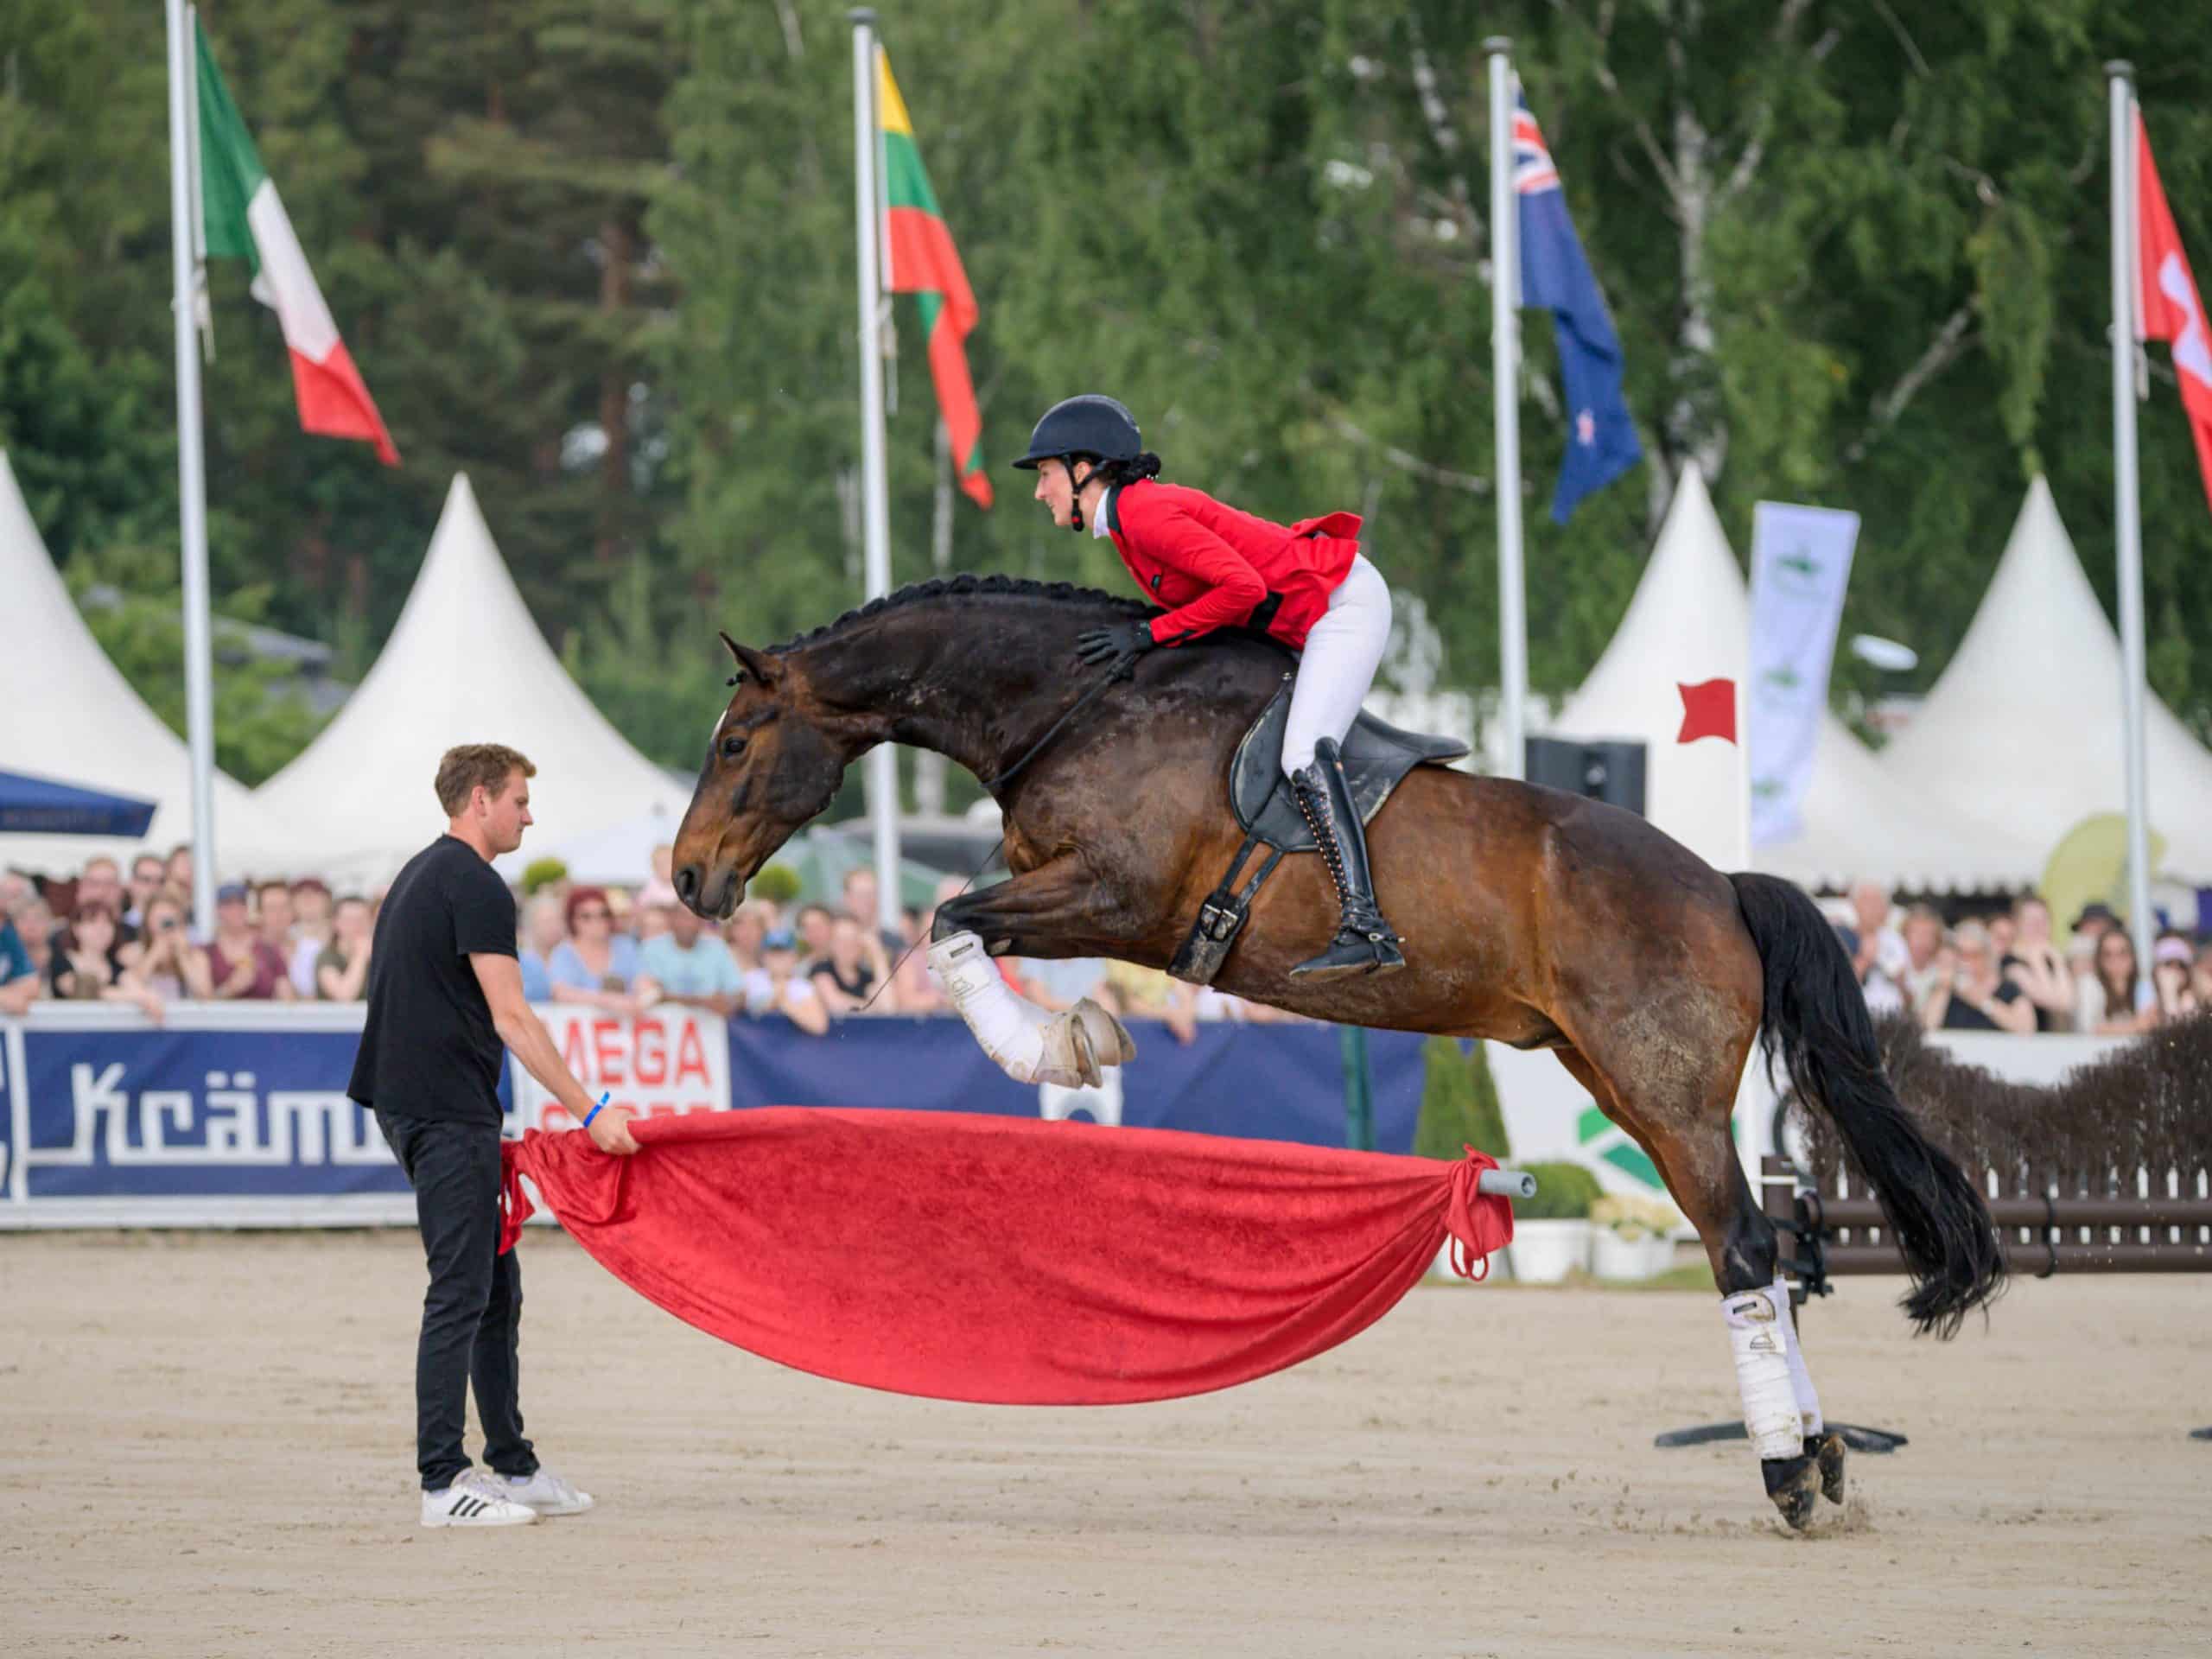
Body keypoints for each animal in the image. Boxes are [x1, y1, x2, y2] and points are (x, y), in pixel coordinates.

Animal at [672, 575, 2008, 1530]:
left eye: (736, 741)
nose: (687, 881)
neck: (1081, 703)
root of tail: (1723, 887)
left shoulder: (1115, 896)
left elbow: (953, 918)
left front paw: (1056, 1044)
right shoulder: (1084, 900)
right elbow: (962, 923)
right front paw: (1076, 1037)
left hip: (1662, 1092)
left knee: (1742, 1249)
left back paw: (1785, 1474)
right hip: (1615, 1082)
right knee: (1755, 1253)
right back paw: (1819, 1457)